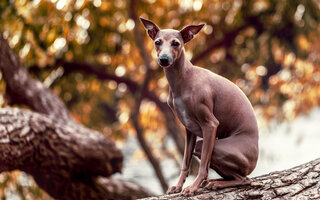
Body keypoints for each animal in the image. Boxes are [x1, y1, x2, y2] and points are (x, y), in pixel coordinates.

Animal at [141, 18, 260, 196]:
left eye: (176, 43)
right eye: (157, 42)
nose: (164, 59)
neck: (183, 80)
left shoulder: (210, 125)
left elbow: (203, 166)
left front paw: (192, 187)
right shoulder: (189, 130)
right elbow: (185, 163)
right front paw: (178, 186)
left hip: (213, 147)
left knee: (245, 179)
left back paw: (214, 184)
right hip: (203, 145)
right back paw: (213, 182)